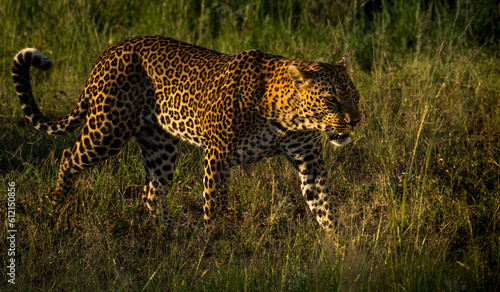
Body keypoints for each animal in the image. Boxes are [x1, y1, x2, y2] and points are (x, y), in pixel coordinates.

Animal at [11, 34, 362, 235]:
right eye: (332, 100)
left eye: (355, 96)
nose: (356, 121)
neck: (288, 117)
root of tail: (107, 53)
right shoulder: (218, 156)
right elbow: (215, 204)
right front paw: (216, 245)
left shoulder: (310, 163)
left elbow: (325, 206)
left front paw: (340, 249)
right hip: (106, 130)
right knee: (68, 157)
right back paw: (56, 206)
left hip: (160, 146)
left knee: (151, 193)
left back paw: (177, 232)